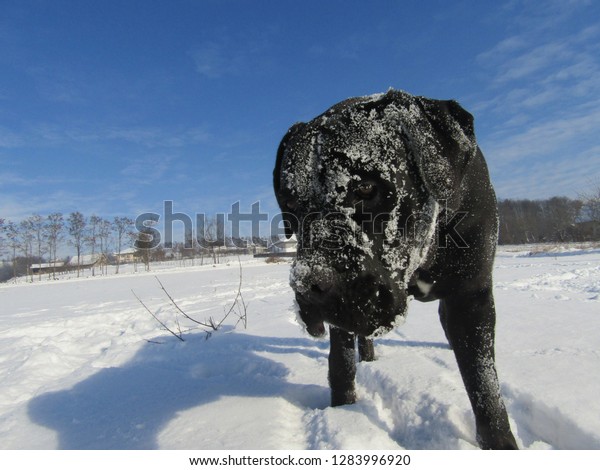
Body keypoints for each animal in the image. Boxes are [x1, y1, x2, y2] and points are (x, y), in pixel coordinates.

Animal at [274, 90, 516, 450]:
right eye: (290, 204)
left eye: (366, 188)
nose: (308, 285)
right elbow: (340, 364)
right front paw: (343, 410)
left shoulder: (470, 295)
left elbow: (484, 386)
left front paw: (501, 442)